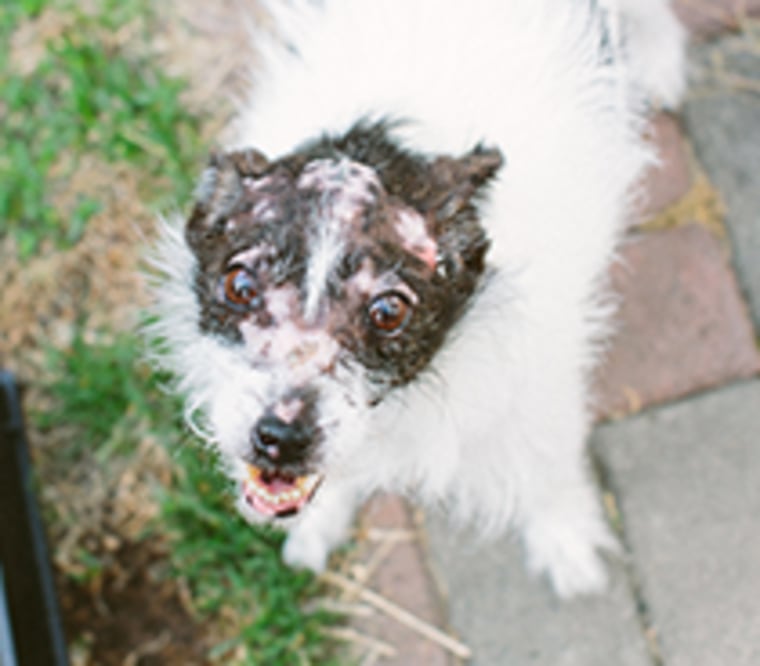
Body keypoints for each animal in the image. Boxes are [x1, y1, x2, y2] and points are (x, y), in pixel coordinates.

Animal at [147, 0, 684, 592]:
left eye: (388, 311)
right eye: (239, 286)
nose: (280, 438)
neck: (394, 138)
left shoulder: (542, 378)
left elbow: (548, 465)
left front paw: (566, 544)